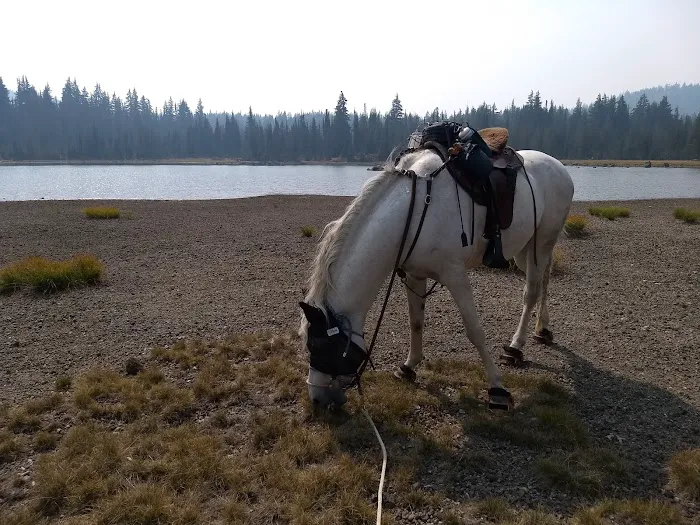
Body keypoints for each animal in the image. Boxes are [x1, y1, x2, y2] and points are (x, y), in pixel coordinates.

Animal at [298, 136, 574, 411]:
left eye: (320, 347)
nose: (317, 398)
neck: (416, 209)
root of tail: (559, 167)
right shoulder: (414, 275)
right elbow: (416, 322)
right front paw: (408, 367)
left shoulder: (455, 275)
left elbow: (475, 331)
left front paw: (497, 388)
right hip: (526, 248)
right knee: (543, 280)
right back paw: (542, 330)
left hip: (542, 242)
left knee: (531, 291)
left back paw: (516, 347)